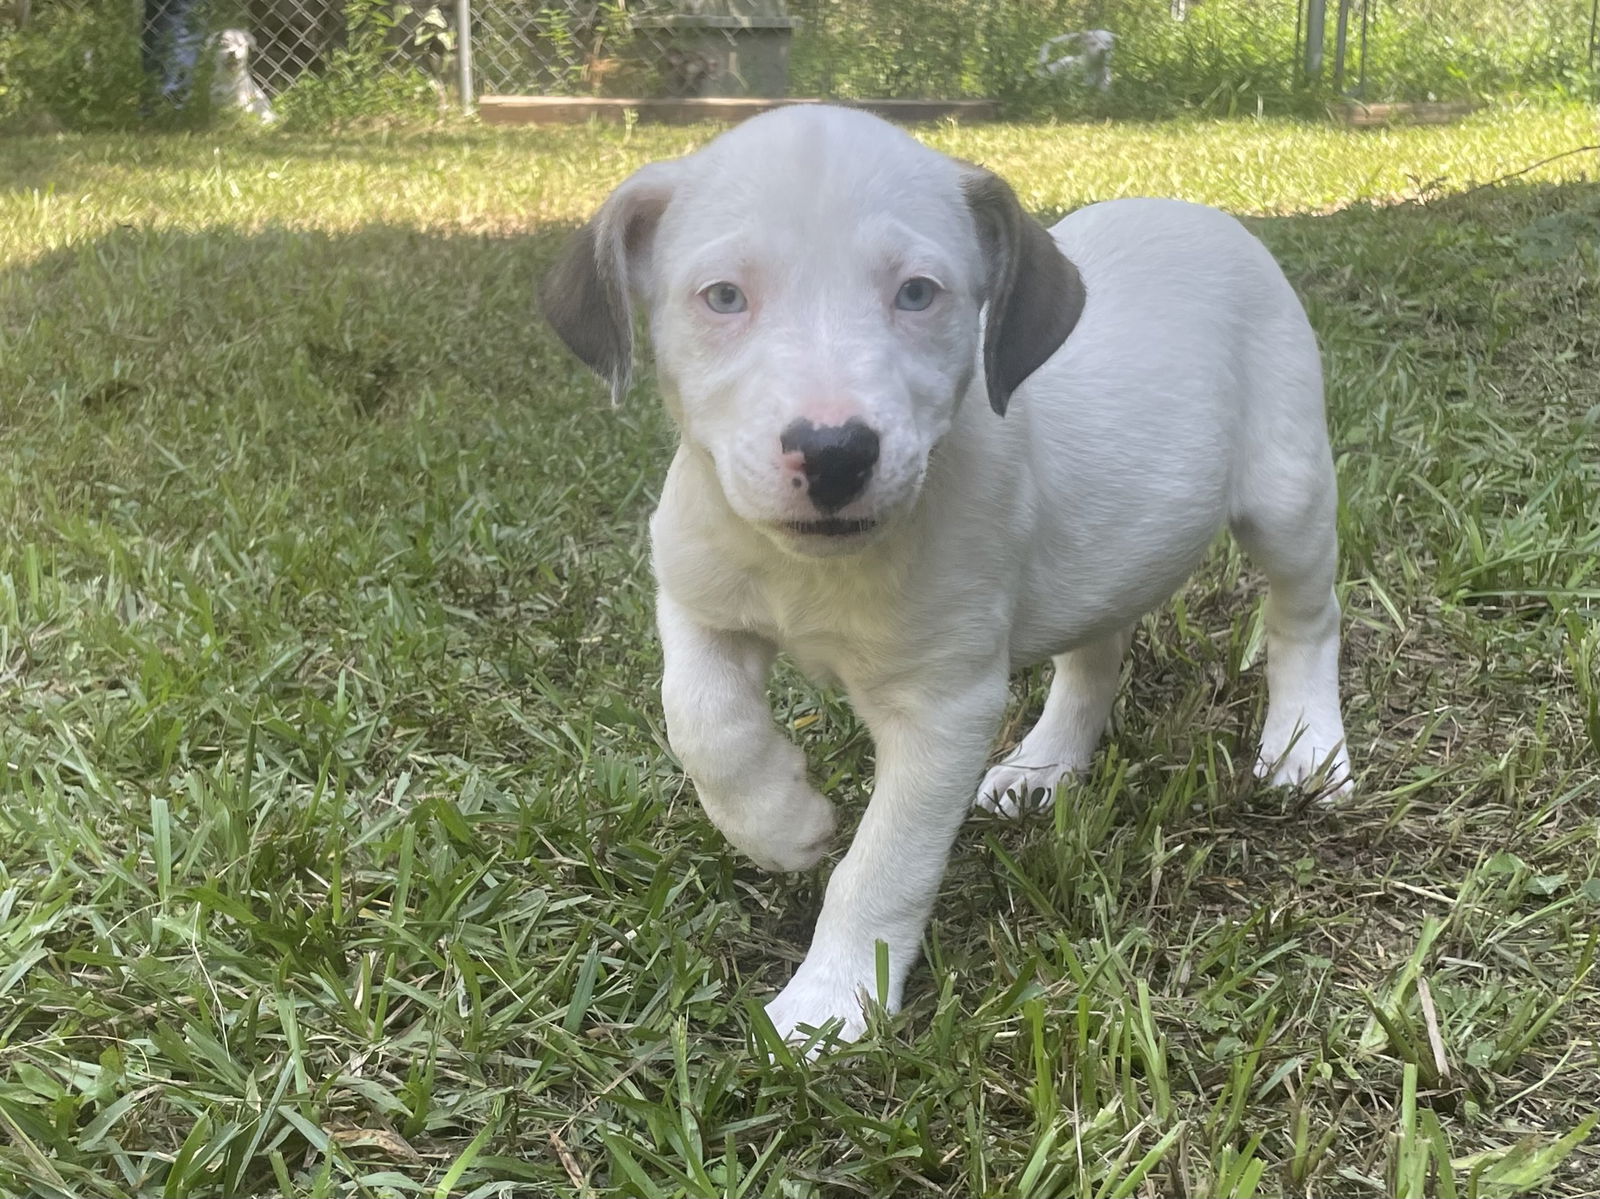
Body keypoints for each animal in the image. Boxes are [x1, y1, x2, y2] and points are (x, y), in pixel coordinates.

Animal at [537, 104, 1350, 1050]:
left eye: (918, 293)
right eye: (724, 296)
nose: (835, 453)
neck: (814, 568)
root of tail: (1191, 209)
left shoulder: (944, 707)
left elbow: (885, 860)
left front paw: (831, 1001)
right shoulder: (697, 596)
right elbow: (703, 721)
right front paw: (781, 824)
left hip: (1286, 491)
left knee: (1306, 618)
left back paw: (1307, 746)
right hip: (1110, 553)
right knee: (1096, 655)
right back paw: (1045, 765)